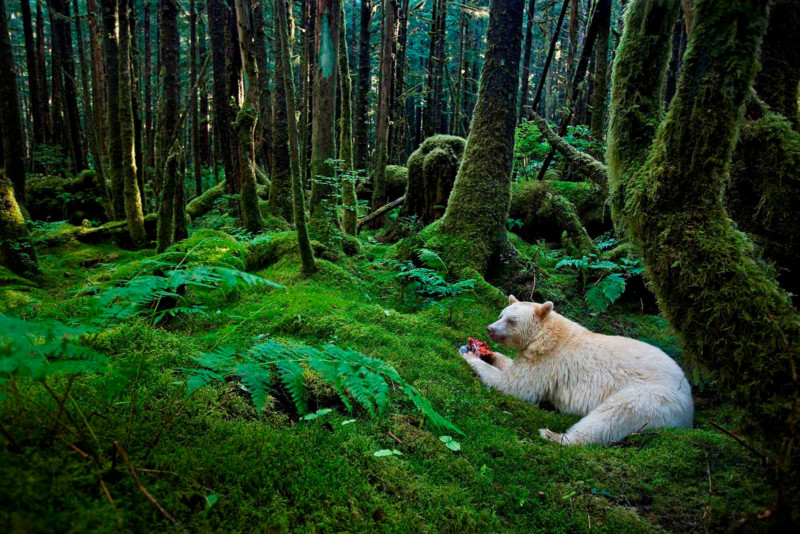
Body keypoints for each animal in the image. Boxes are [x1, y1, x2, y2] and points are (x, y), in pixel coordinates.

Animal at [460, 295, 693, 445]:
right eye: (501, 314)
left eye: (511, 320)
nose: (490, 328)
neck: (546, 335)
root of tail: (689, 407)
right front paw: (486, 353)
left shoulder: (549, 361)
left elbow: (517, 386)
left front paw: (470, 355)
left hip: (652, 398)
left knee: (612, 416)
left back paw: (554, 436)